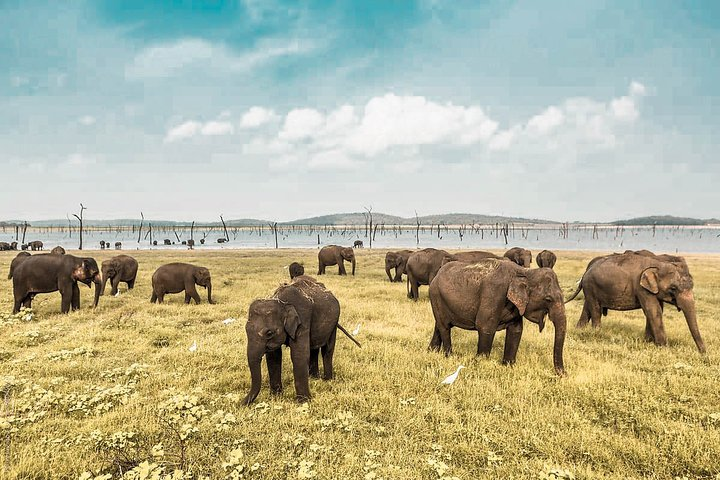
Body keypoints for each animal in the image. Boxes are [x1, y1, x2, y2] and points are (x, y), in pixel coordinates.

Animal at [242, 274, 360, 404]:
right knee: (314, 349)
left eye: (269, 333)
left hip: (334, 323)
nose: (240, 403)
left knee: (327, 350)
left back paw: (327, 380)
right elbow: (273, 357)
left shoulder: (303, 319)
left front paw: (304, 402)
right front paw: (276, 396)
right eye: (246, 330)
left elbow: (299, 355)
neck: (282, 302)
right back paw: (314, 377)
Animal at [428, 258, 568, 376]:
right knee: (445, 327)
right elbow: (485, 327)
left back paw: (431, 351)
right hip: (436, 295)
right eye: (548, 299)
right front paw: (481, 363)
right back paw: (449, 356)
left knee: (439, 325)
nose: (563, 374)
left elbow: (516, 331)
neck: (524, 272)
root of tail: (437, 274)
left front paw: (508, 366)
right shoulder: (494, 295)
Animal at [564, 251, 704, 352]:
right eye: (673, 288)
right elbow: (654, 311)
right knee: (595, 309)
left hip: (590, 289)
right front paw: (664, 347)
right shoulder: (641, 288)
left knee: (588, 308)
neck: (658, 263)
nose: (703, 353)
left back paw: (580, 331)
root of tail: (586, 271)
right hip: (591, 286)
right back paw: (596, 333)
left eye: (692, 285)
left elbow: (655, 310)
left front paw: (648, 342)